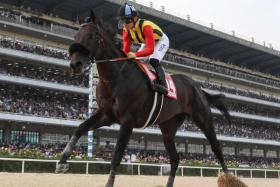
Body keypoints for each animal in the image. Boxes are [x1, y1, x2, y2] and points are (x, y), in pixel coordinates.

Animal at [55, 11, 232, 187]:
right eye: (76, 35)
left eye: (91, 36)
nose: (75, 64)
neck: (115, 78)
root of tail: (197, 86)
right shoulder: (107, 115)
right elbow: (80, 128)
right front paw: (62, 161)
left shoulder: (127, 120)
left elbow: (117, 155)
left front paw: (109, 183)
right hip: (168, 128)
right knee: (175, 158)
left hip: (203, 118)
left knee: (217, 148)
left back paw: (229, 178)